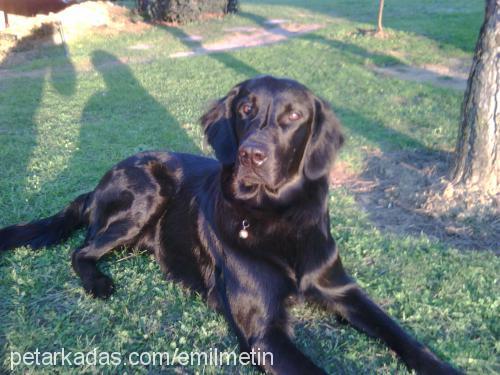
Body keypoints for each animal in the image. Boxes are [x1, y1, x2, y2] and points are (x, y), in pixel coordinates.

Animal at [0, 77, 460, 375]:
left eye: (294, 115)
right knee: (80, 250)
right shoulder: (264, 333)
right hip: (148, 191)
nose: (251, 155)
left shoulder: (342, 289)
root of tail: (98, 184)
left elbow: (403, 336)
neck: (278, 216)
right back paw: (98, 281)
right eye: (245, 109)